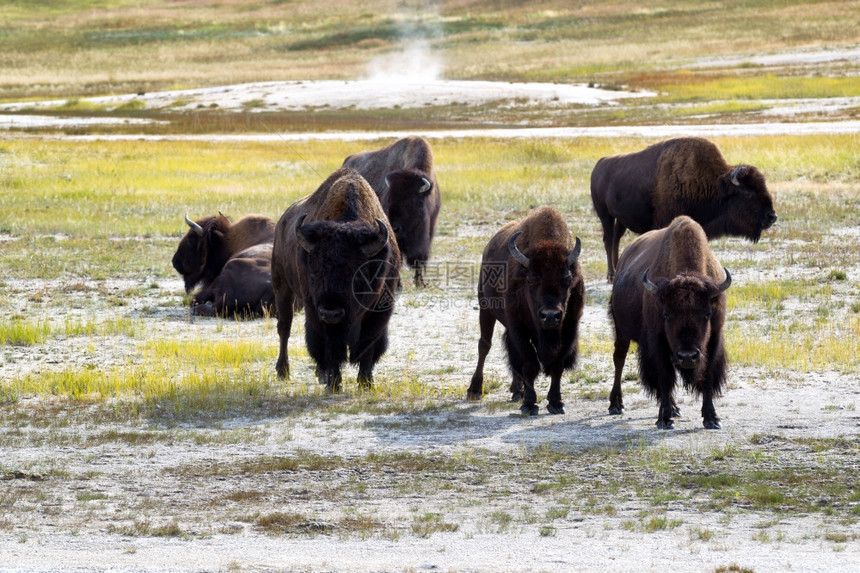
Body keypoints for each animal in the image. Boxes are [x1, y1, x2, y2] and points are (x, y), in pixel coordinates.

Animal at [270, 168, 402, 392]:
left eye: (357, 274)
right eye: (314, 270)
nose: (331, 312)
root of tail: (282, 222)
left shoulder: (379, 312)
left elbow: (368, 344)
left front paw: (366, 383)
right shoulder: (316, 311)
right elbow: (330, 346)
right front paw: (334, 383)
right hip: (282, 287)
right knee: (284, 327)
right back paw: (284, 371)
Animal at [340, 134, 440, 286]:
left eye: (412, 201)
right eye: (389, 199)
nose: (395, 228)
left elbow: (418, 258)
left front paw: (420, 283)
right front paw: (398, 285)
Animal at [466, 206, 588, 416]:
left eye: (567, 279)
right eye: (531, 280)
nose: (550, 316)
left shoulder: (569, 329)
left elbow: (557, 365)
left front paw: (556, 403)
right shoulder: (519, 328)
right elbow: (530, 364)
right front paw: (530, 405)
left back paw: (517, 390)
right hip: (485, 308)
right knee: (484, 345)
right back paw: (475, 390)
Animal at [592, 139, 780, 282]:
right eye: (748, 193)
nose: (772, 216)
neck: (714, 185)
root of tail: (599, 164)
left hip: (620, 220)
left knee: (616, 240)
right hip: (605, 215)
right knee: (608, 240)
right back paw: (611, 275)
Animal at [608, 216, 728, 428]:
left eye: (707, 313)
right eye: (666, 314)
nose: (687, 356)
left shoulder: (714, 337)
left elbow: (707, 375)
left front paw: (712, 418)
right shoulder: (658, 339)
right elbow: (664, 376)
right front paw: (664, 419)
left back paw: (675, 408)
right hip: (621, 331)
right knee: (619, 359)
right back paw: (616, 405)